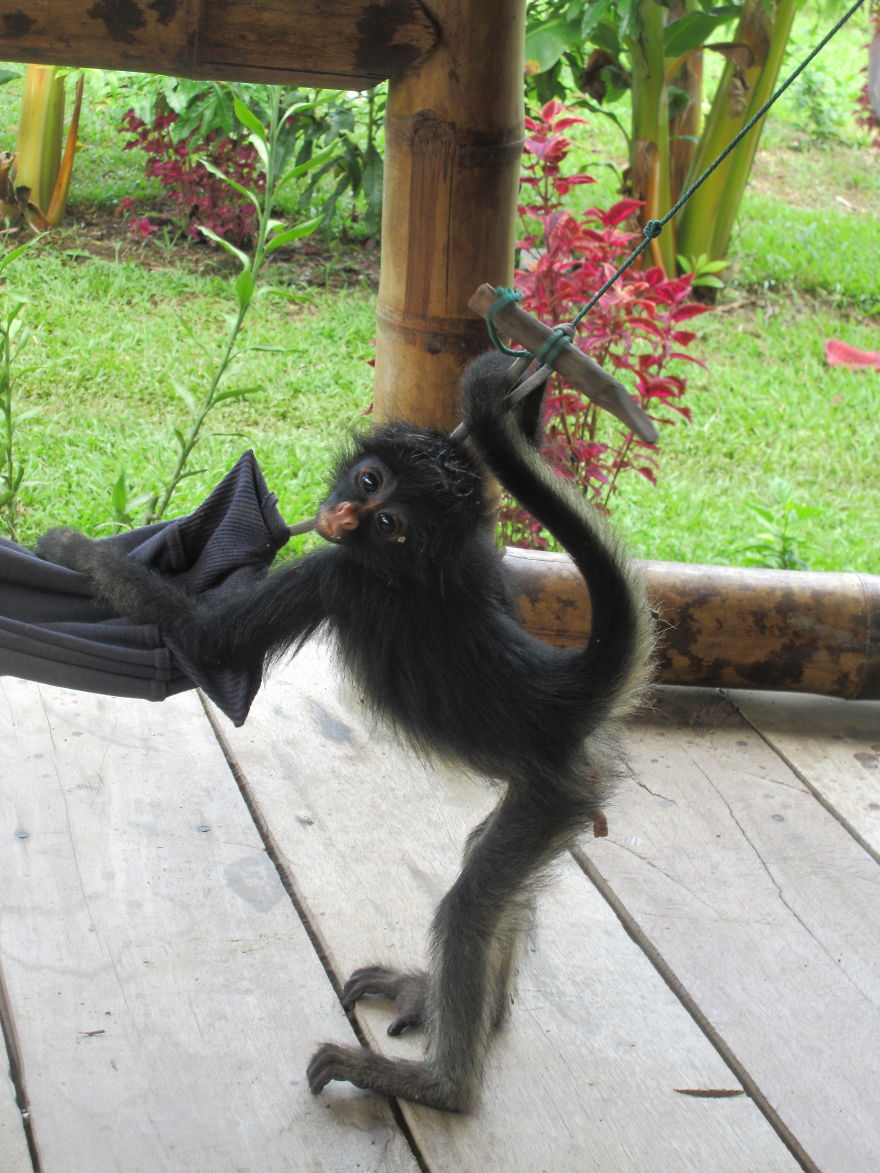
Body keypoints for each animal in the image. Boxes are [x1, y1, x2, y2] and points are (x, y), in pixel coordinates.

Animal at [34, 350, 654, 1113]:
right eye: (368, 480)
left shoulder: (340, 575)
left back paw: (437, 1084)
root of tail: (558, 691)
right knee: (492, 871)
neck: (424, 565)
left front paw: (70, 545)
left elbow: (210, 642)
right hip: (555, 795)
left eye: (387, 521)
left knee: (471, 905)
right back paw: (466, 1009)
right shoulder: (480, 554)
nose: (342, 513)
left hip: (552, 795)